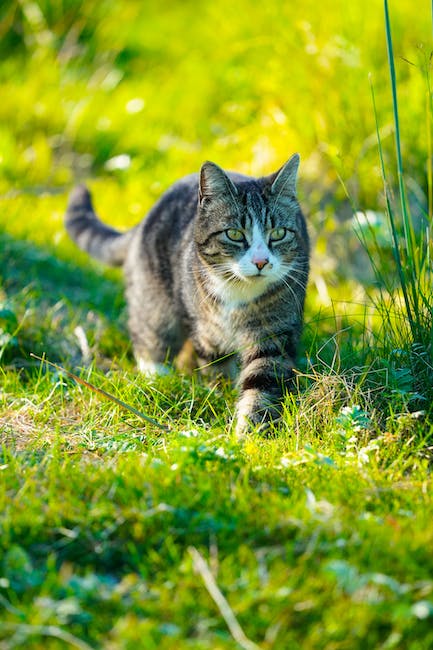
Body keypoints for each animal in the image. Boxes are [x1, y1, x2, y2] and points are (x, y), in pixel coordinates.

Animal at [65, 154, 308, 432]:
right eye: (234, 234)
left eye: (278, 233)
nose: (261, 262)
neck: (238, 292)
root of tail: (146, 218)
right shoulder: (206, 332)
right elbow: (215, 367)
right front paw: (220, 394)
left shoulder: (273, 332)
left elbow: (263, 379)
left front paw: (249, 431)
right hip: (155, 301)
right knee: (148, 332)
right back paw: (158, 375)